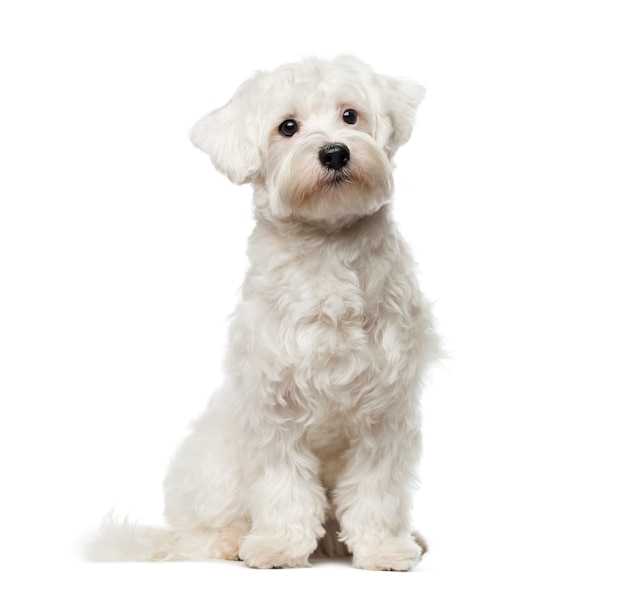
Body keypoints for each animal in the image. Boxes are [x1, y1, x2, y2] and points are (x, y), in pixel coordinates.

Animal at [92, 56, 438, 572]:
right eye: (287, 127)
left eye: (350, 116)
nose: (334, 152)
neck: (327, 248)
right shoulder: (274, 408)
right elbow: (283, 485)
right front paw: (278, 547)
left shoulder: (384, 411)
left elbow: (376, 490)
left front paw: (384, 548)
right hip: (214, 463)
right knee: (203, 534)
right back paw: (234, 541)